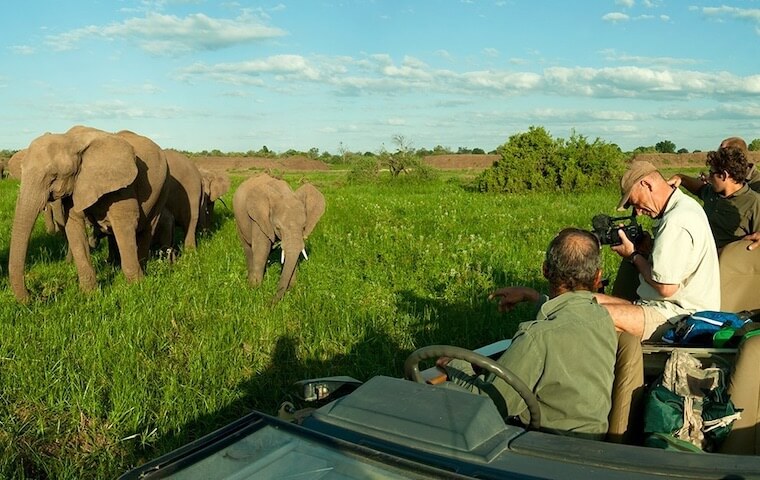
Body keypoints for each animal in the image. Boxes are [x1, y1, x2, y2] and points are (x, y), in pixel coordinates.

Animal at [7, 125, 168, 302]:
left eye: (54, 177)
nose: (36, 296)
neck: (71, 140)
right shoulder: (76, 185)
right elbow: (73, 226)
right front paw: (90, 294)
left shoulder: (123, 185)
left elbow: (125, 223)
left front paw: (136, 289)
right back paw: (113, 264)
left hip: (162, 188)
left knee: (148, 227)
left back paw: (141, 266)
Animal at [233, 172, 326, 300]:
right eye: (277, 227)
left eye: (303, 227)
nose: (270, 302)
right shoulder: (259, 218)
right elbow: (262, 249)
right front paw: (255, 290)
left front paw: (291, 289)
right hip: (239, 220)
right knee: (248, 248)